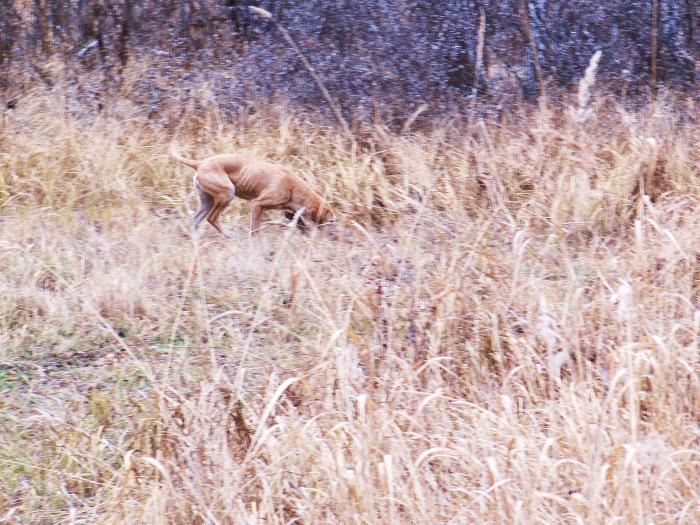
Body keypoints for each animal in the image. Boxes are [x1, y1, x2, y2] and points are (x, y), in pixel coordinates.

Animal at [169, 144, 334, 236]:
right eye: (331, 221)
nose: (334, 236)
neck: (294, 187)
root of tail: (200, 163)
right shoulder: (257, 204)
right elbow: (255, 231)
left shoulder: (290, 213)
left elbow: (303, 227)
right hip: (228, 193)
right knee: (212, 218)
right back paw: (229, 235)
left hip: (208, 201)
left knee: (196, 220)